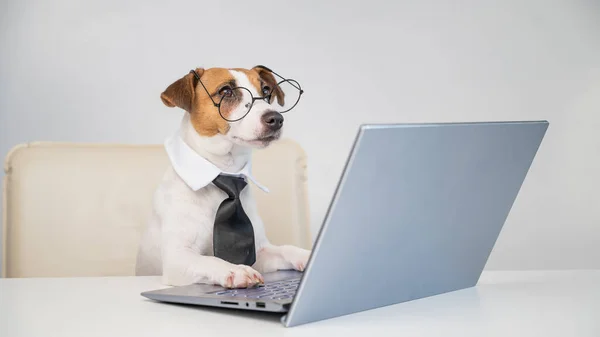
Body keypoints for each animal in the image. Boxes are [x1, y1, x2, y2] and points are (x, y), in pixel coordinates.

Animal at [136, 66, 312, 288]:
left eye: (265, 91)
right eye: (226, 91)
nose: (276, 119)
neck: (226, 170)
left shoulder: (260, 251)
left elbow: (285, 249)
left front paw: (308, 255)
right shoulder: (178, 258)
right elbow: (210, 259)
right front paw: (235, 269)